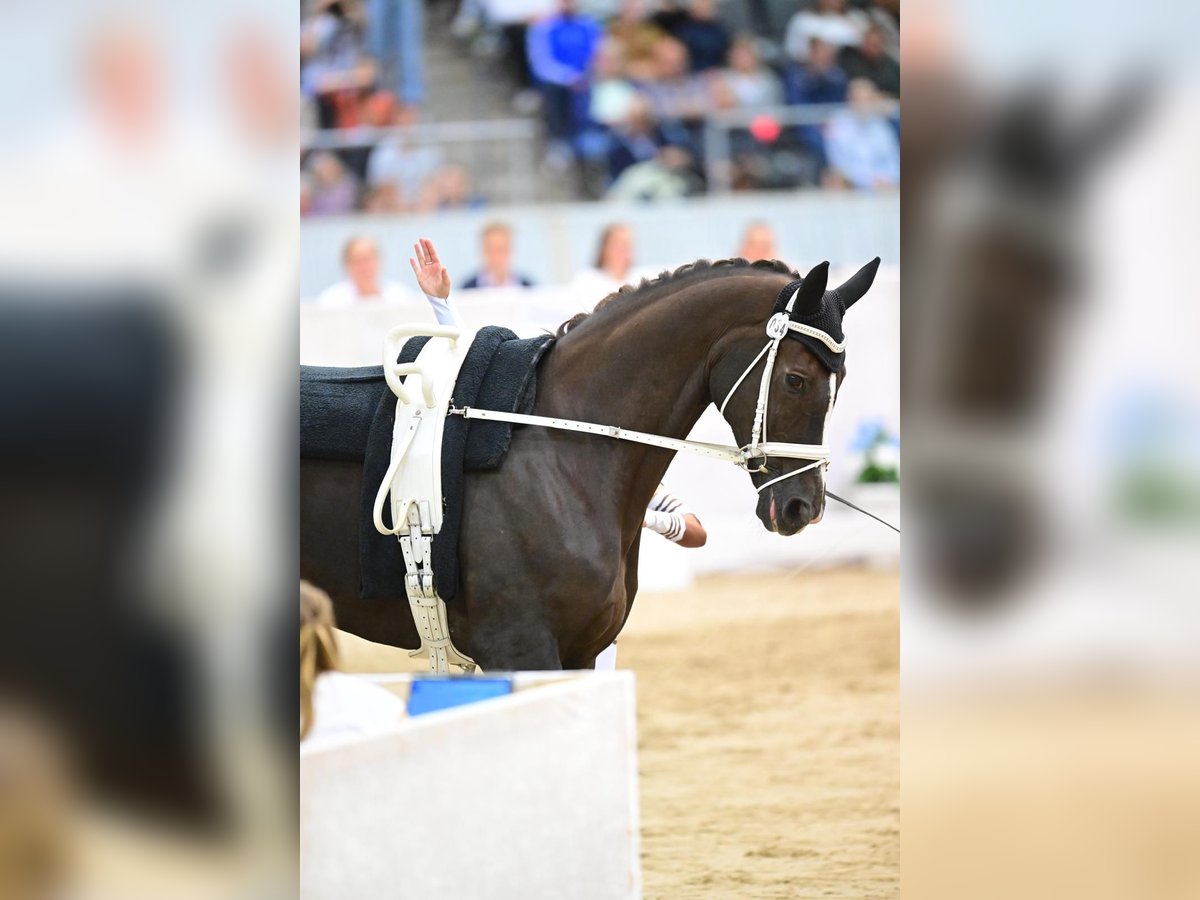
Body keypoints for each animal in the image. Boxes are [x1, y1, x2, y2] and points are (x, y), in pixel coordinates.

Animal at [300, 256, 883, 672]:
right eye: (795, 379)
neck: (558, 443)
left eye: (841, 379)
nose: (803, 506)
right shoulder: (520, 647)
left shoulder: (581, 651)